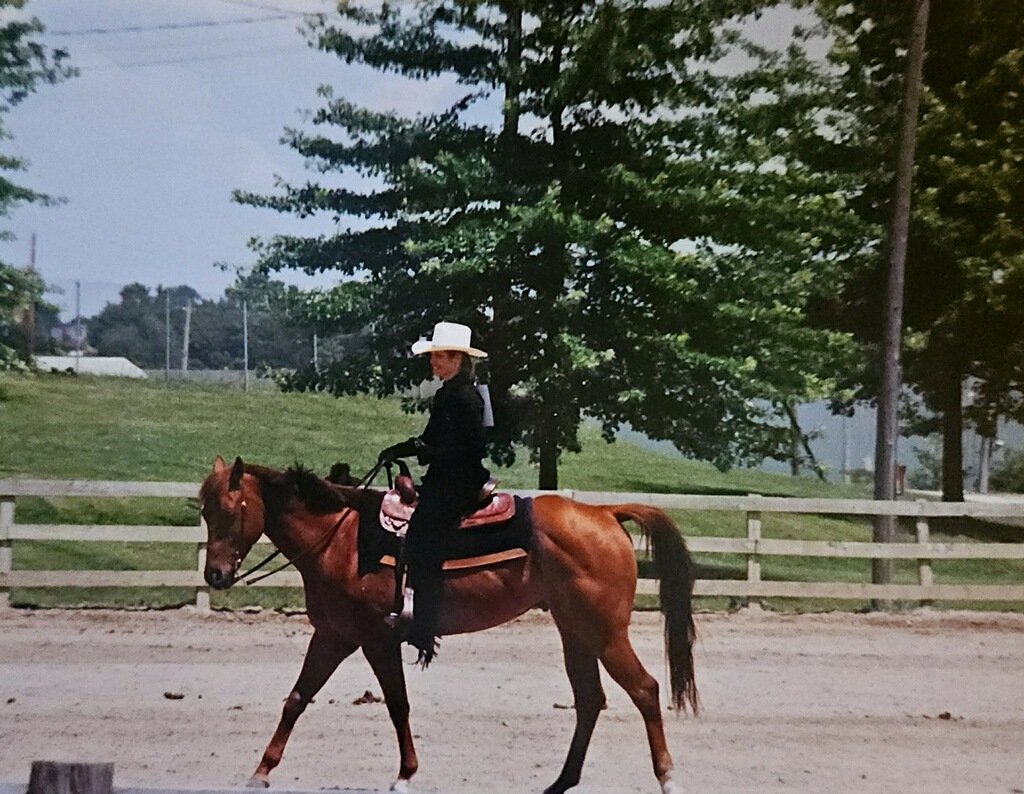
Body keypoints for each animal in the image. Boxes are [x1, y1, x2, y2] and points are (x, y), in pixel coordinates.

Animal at [196, 452, 700, 794]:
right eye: (203, 510)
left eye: (232, 509)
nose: (215, 575)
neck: (339, 540)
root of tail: (604, 513)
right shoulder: (334, 635)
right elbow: (297, 699)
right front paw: (260, 772)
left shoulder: (376, 638)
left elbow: (397, 704)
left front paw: (405, 776)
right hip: (575, 631)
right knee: (590, 700)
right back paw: (560, 782)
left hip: (606, 633)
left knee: (645, 690)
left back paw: (668, 778)